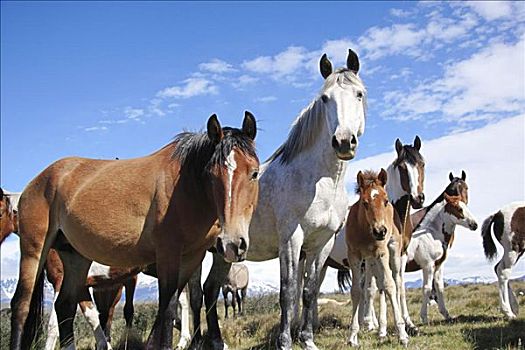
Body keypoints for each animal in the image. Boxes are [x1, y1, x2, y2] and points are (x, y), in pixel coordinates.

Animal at [10, 113, 260, 350]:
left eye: (254, 173)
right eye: (211, 174)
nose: (233, 244)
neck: (186, 186)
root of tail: (38, 180)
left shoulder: (191, 258)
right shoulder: (168, 254)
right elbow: (168, 309)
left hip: (75, 258)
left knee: (65, 307)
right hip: (34, 250)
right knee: (21, 305)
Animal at [187, 49, 364, 350]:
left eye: (359, 94)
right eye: (325, 98)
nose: (343, 141)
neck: (319, 182)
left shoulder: (322, 244)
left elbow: (309, 291)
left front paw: (307, 340)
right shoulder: (291, 241)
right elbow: (288, 293)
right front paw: (284, 341)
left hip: (224, 252)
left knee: (209, 290)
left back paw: (216, 341)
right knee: (195, 295)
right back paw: (198, 340)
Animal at [344, 170, 410, 348]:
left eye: (385, 201)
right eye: (365, 202)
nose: (380, 231)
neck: (364, 230)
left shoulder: (382, 252)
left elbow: (390, 286)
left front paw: (402, 334)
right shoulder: (354, 256)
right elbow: (356, 291)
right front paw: (352, 336)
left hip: (392, 252)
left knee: (397, 283)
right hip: (370, 260)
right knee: (377, 287)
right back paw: (381, 330)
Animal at [408, 191, 476, 322]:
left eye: (466, 206)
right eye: (459, 208)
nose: (474, 225)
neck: (431, 236)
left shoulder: (438, 266)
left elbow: (439, 287)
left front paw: (447, 315)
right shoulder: (428, 266)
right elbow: (427, 288)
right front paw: (424, 318)